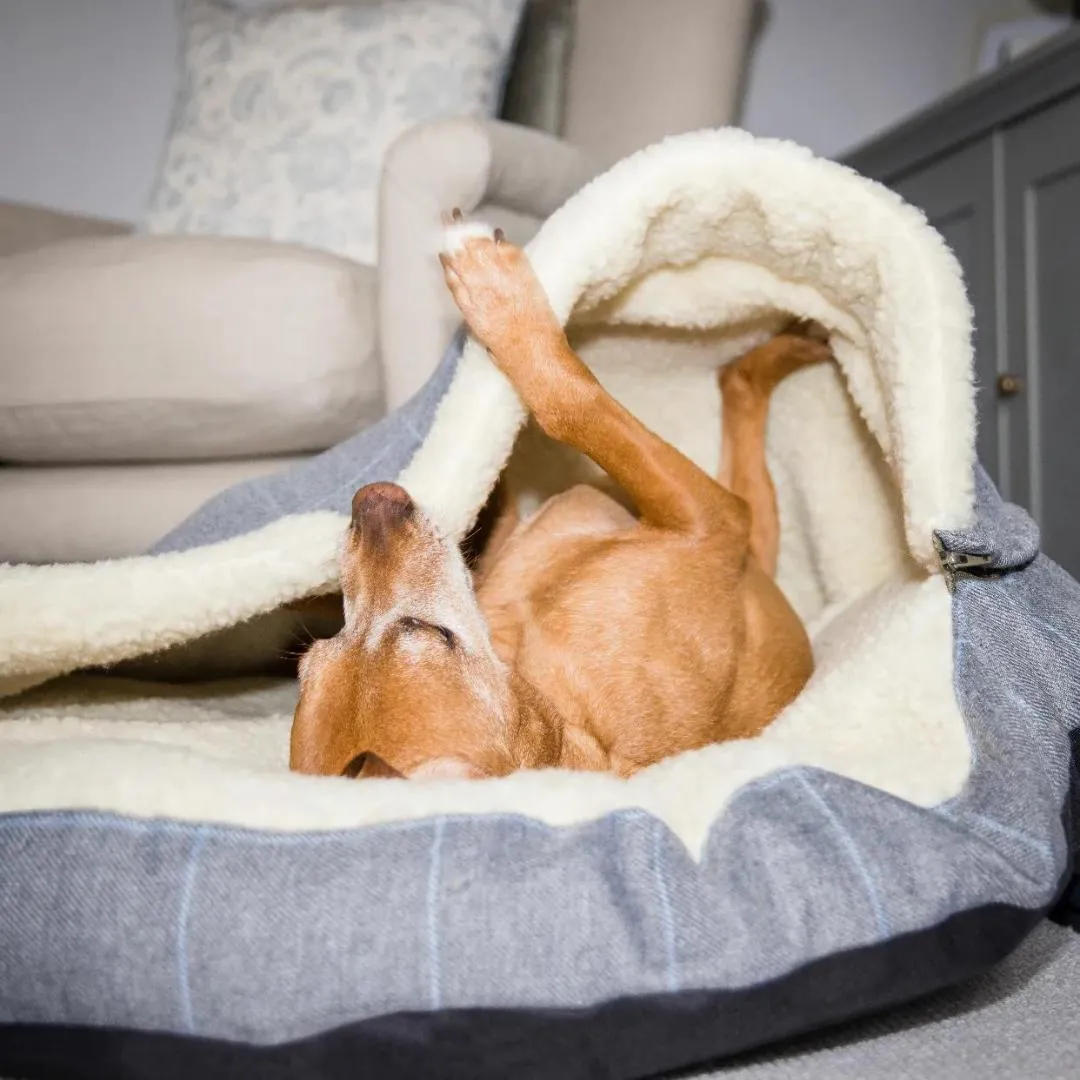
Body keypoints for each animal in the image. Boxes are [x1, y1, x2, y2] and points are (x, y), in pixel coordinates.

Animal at [287, 221, 825, 777]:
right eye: (432, 632)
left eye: (316, 653)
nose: (369, 501)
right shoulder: (713, 520)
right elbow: (571, 404)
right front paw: (501, 298)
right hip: (743, 527)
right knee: (740, 389)